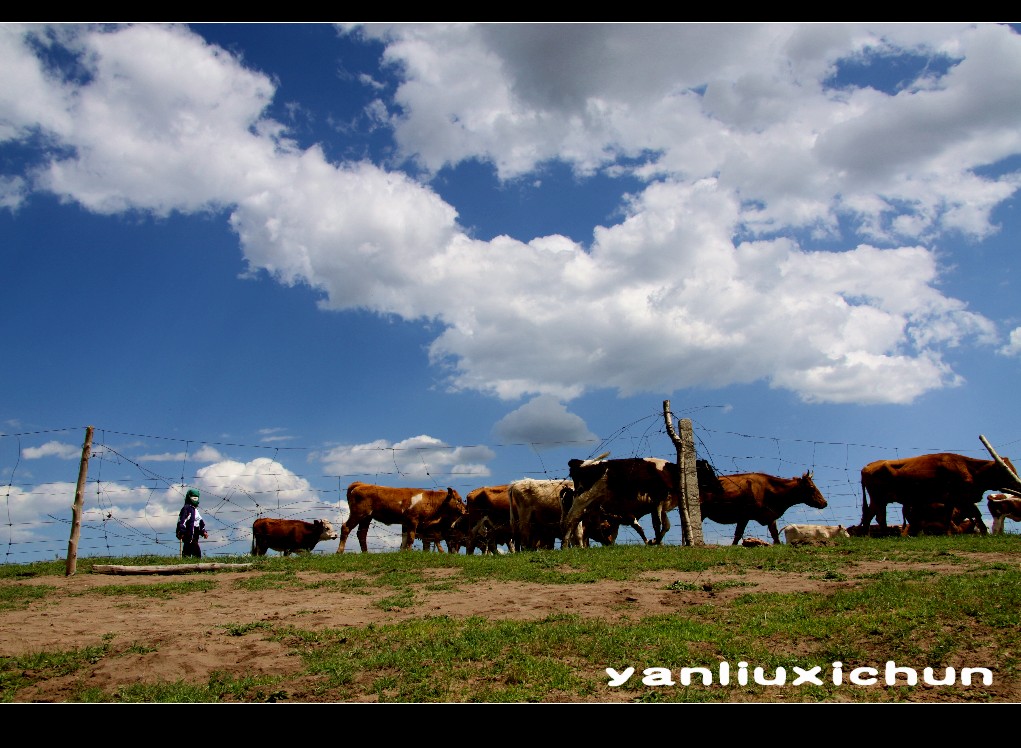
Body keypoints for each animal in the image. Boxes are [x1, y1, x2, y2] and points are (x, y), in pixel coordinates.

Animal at [336, 481, 467, 551]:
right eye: (459, 500)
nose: (466, 510)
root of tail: (361, 484)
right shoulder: (413, 520)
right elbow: (410, 538)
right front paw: (408, 552)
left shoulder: (408, 524)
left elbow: (405, 540)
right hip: (358, 514)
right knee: (345, 528)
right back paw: (339, 551)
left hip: (366, 518)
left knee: (362, 534)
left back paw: (365, 553)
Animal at [698, 463, 833, 546]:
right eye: (811, 487)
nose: (824, 502)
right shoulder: (744, 516)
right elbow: (738, 534)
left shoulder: (770, 516)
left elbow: (775, 535)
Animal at [861, 453, 1021, 534]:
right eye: (1007, 470)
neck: (967, 467)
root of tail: (868, 466)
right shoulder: (956, 497)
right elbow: (952, 517)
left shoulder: (959, 499)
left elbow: (973, 515)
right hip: (877, 498)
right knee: (874, 516)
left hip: (880, 500)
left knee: (876, 517)